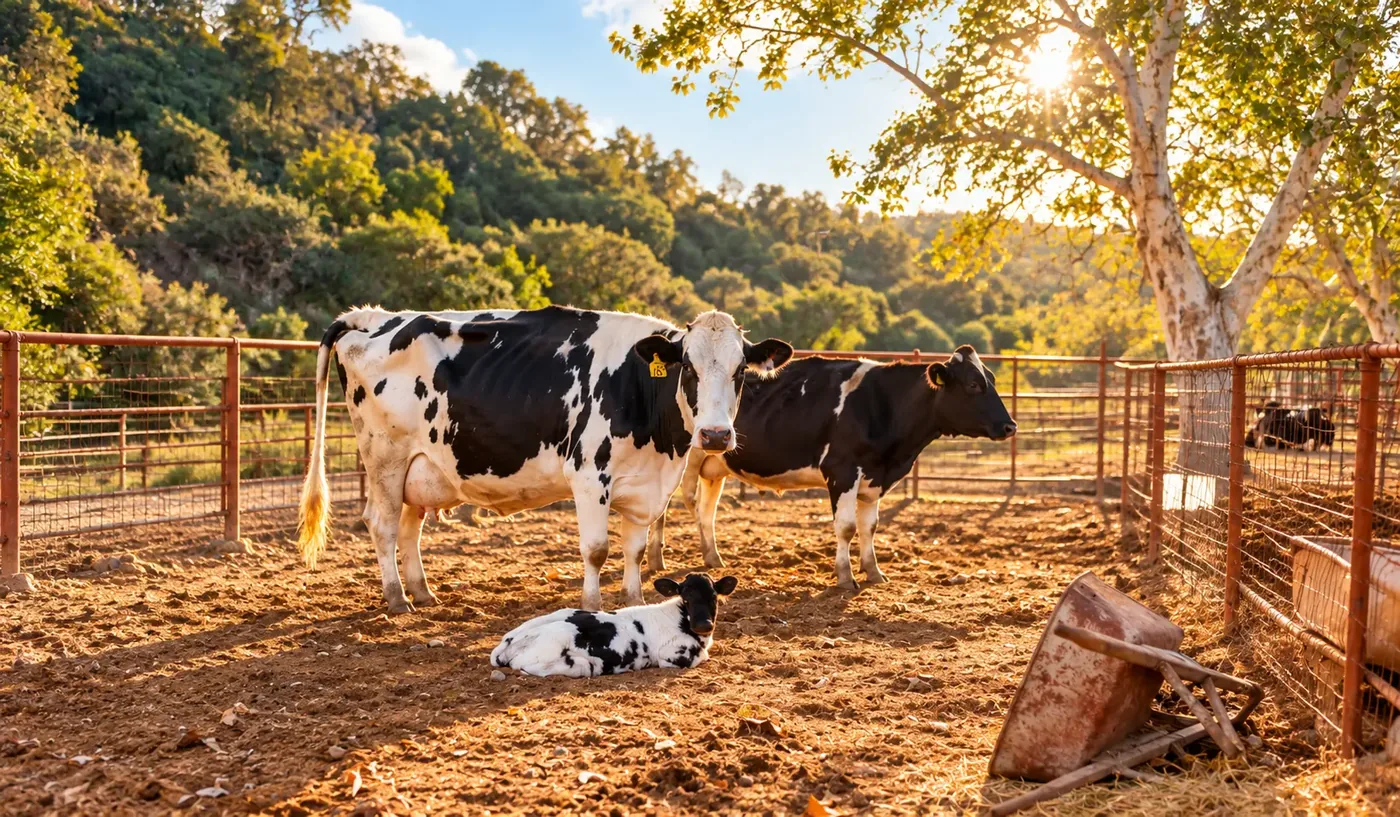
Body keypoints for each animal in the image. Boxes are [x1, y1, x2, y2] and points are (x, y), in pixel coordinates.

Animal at [296, 305, 792, 613]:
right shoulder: (590, 477)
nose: (715, 434)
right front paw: (592, 605)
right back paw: (397, 598)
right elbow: (597, 549)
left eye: (741, 371)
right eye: (687, 367)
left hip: (423, 465)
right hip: (385, 458)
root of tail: (372, 316)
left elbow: (633, 549)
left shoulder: (645, 485)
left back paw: (423, 592)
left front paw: (633, 600)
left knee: (408, 528)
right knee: (381, 524)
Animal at [490, 573, 738, 677]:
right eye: (686, 598)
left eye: (714, 597)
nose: (703, 624)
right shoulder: (674, 655)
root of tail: (512, 640)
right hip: (578, 663)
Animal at [647, 345, 1016, 589]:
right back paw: (655, 560)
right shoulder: (842, 472)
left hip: (714, 465)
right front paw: (845, 577)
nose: (1010, 426)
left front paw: (874, 572)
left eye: (992, 379)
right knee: (663, 509)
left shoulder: (872, 477)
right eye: (973, 384)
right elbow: (847, 528)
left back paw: (713, 558)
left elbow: (870, 527)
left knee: (705, 512)